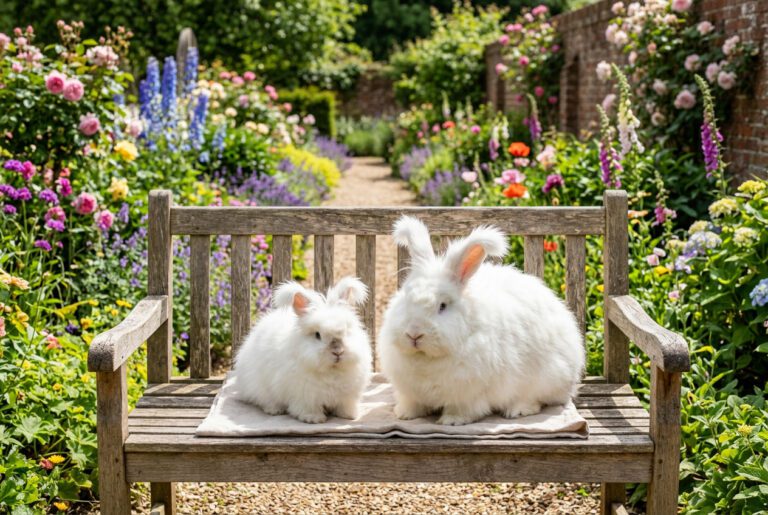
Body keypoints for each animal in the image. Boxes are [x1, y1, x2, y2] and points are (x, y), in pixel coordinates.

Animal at [232, 277, 372, 424]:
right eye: (317, 335)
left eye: (346, 331)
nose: (338, 351)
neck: (331, 371)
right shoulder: (305, 396)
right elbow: (308, 408)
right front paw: (313, 419)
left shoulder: (348, 396)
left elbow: (345, 405)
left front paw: (350, 415)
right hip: (259, 386)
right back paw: (274, 410)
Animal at [378, 216, 585, 426]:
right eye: (406, 298)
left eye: (442, 306)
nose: (414, 334)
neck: (425, 358)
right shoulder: (411, 391)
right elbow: (413, 403)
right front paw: (404, 414)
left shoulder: (468, 392)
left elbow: (464, 408)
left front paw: (452, 421)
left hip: (545, 377)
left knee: (536, 399)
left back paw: (517, 410)